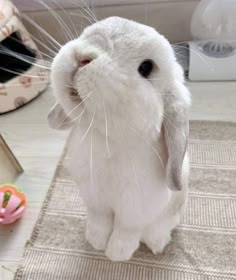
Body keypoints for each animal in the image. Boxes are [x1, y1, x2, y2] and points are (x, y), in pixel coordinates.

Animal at [48, 17, 192, 262]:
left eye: (146, 67)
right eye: (84, 33)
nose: (83, 57)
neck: (107, 140)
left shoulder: (134, 209)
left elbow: (126, 230)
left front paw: (117, 254)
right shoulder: (94, 200)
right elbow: (99, 221)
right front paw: (95, 242)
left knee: (160, 228)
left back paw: (158, 244)